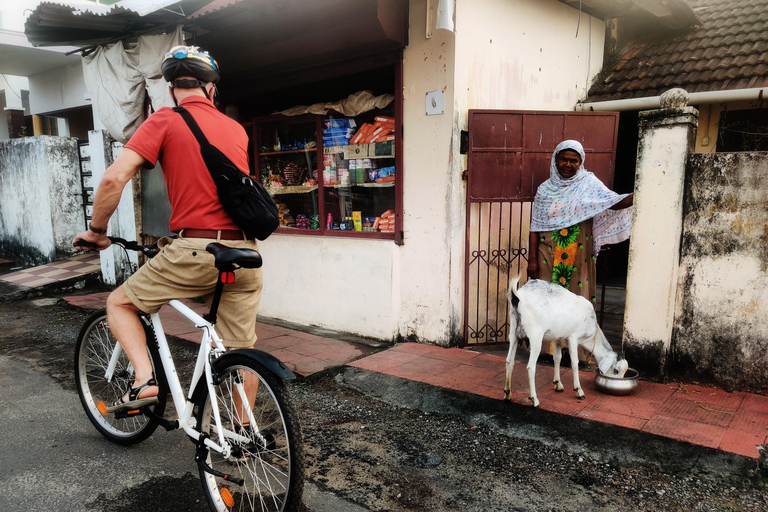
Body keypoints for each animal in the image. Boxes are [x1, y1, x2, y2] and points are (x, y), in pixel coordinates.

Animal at [504, 274, 632, 410]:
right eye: (616, 370)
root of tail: (518, 296)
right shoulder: (573, 338)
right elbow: (574, 363)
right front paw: (579, 390)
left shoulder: (557, 339)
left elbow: (557, 358)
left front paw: (558, 384)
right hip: (535, 335)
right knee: (530, 366)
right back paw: (534, 399)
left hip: (513, 332)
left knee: (509, 361)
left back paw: (507, 393)